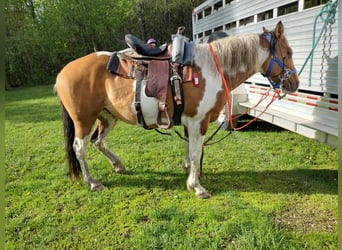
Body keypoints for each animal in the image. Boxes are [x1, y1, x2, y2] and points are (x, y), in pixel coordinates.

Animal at [54, 21, 298, 198]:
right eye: (288, 52)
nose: (294, 83)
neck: (212, 68)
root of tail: (63, 72)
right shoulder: (198, 121)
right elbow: (196, 151)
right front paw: (197, 186)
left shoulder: (190, 121)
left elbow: (189, 148)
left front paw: (189, 170)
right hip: (83, 121)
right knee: (80, 149)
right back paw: (93, 182)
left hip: (107, 117)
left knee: (98, 141)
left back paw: (118, 165)